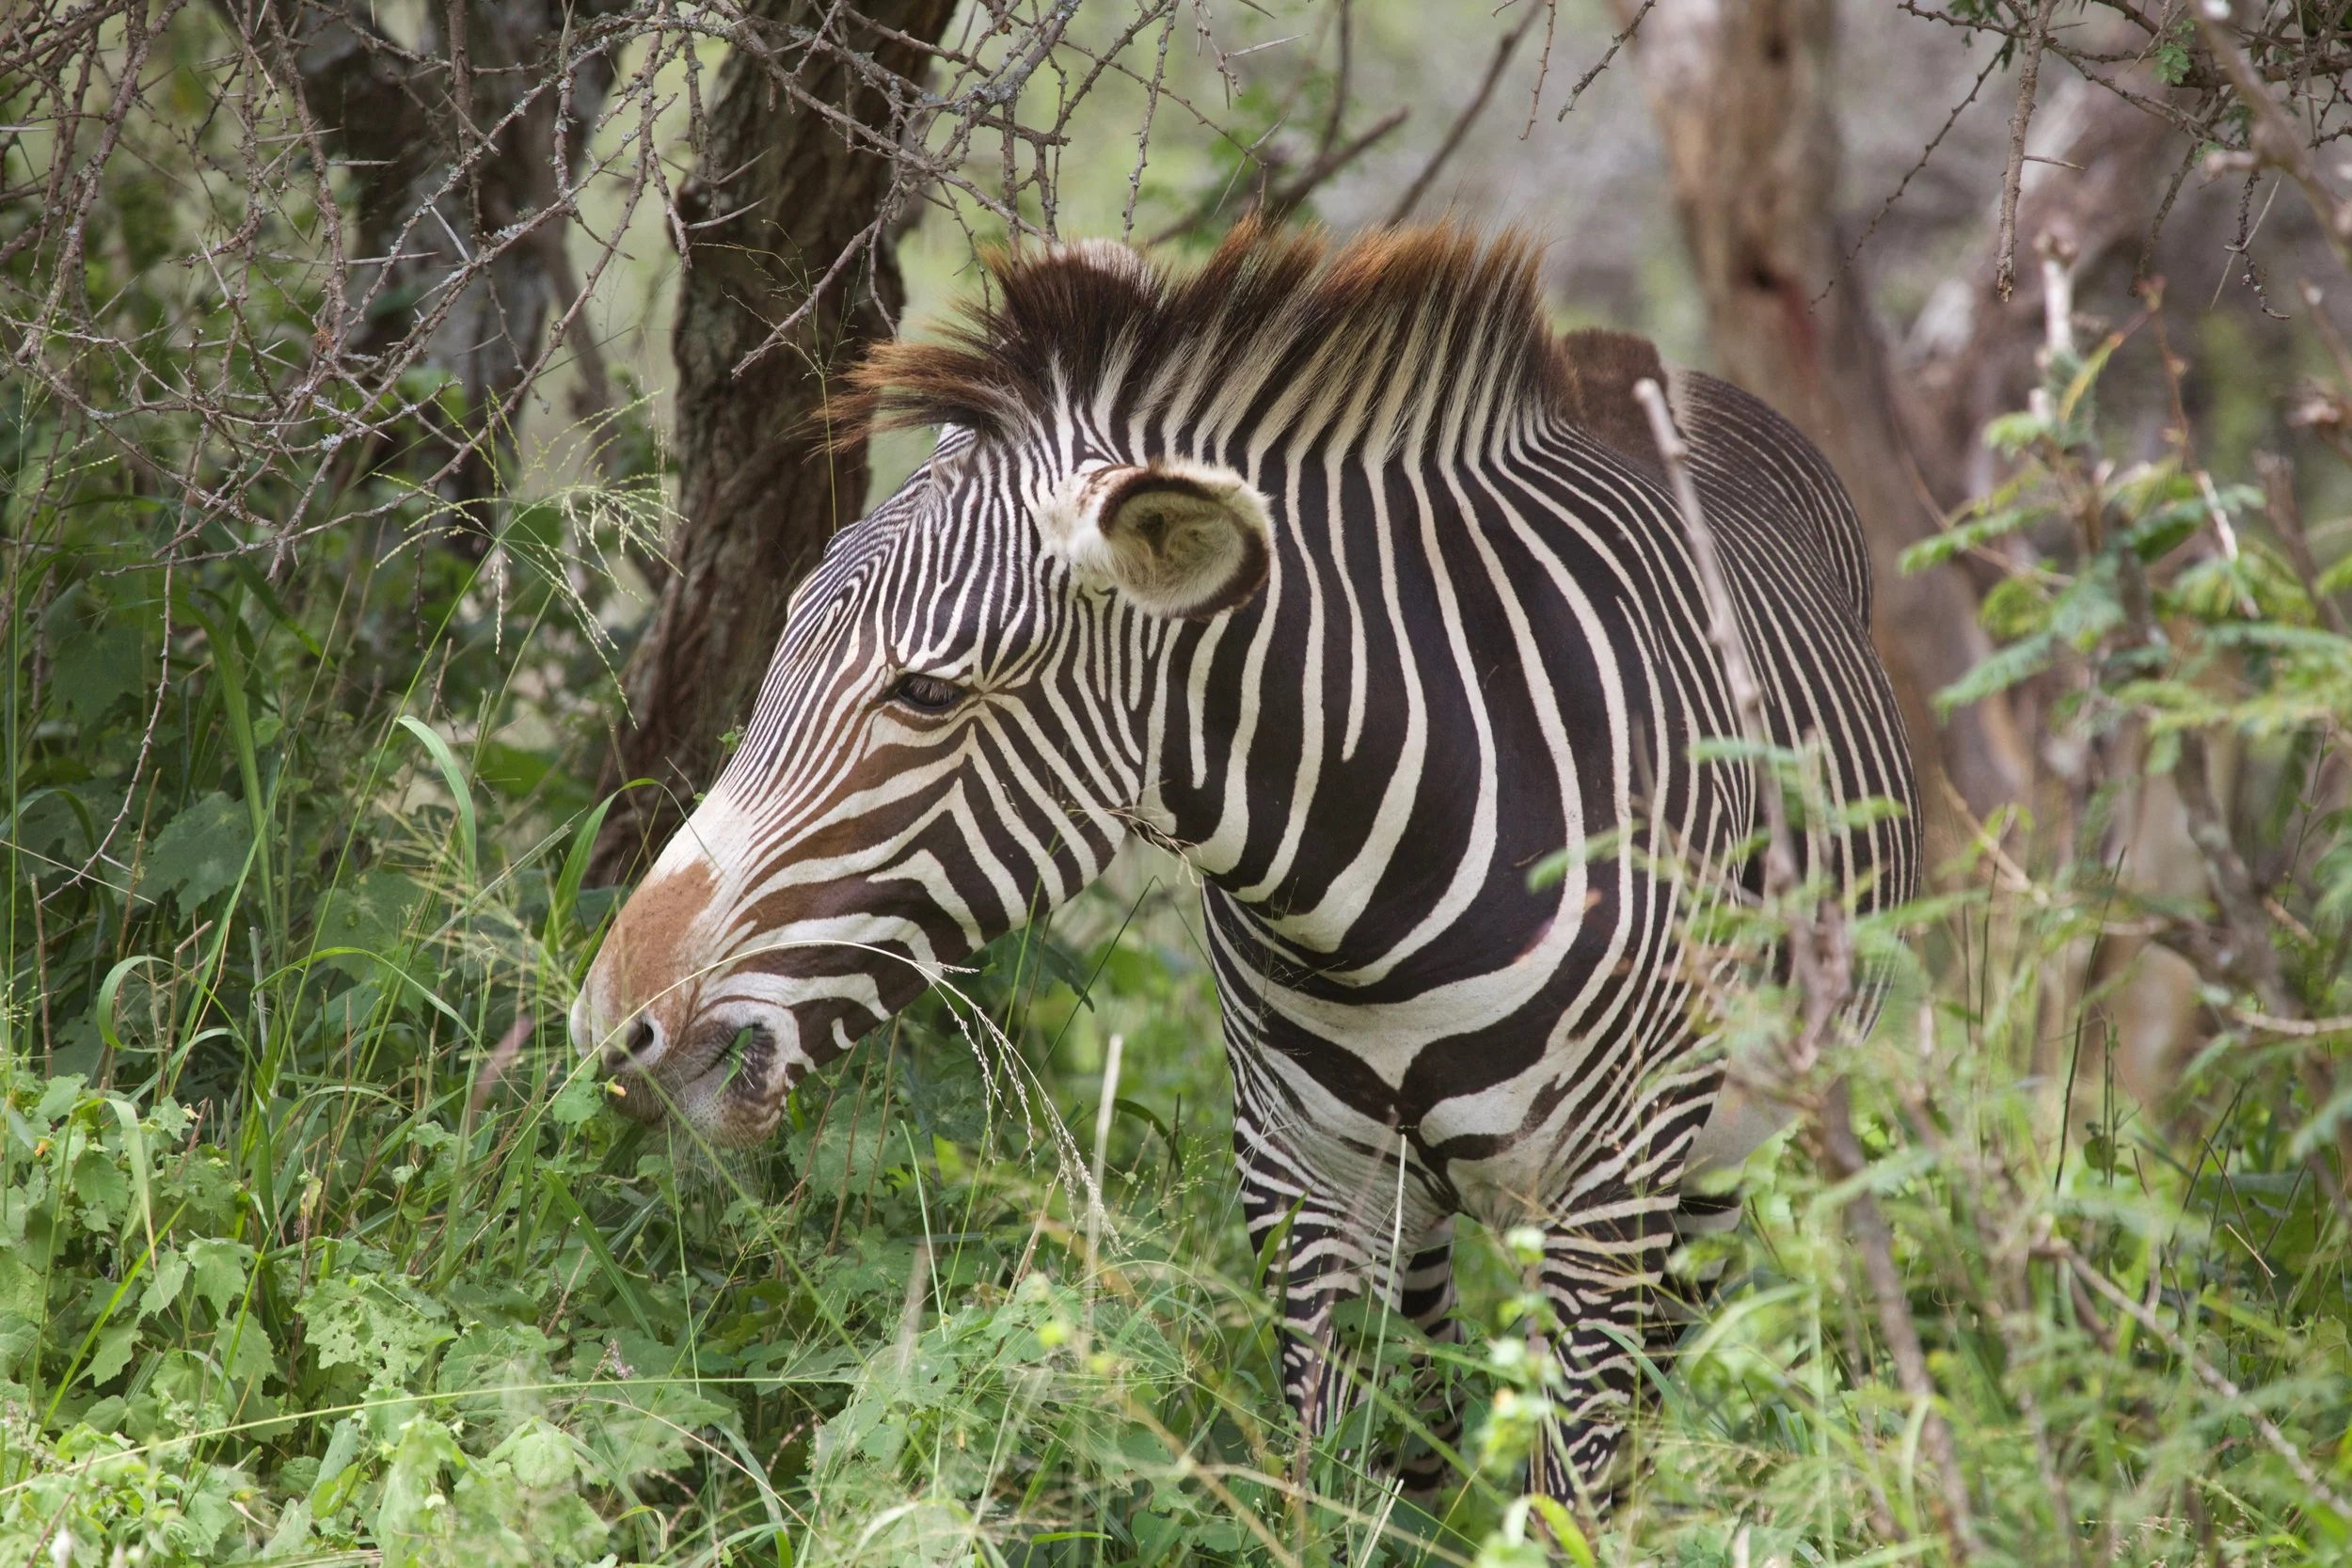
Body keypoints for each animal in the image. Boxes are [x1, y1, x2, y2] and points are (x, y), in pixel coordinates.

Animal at [570, 224, 1918, 1503]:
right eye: (781, 639)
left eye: (925, 693)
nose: (610, 1025)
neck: (1384, 906)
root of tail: (1645, 359)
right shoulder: (1303, 1179)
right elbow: (1333, 1488)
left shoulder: (1609, 1192)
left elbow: (1569, 1495)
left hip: (1720, 1160)